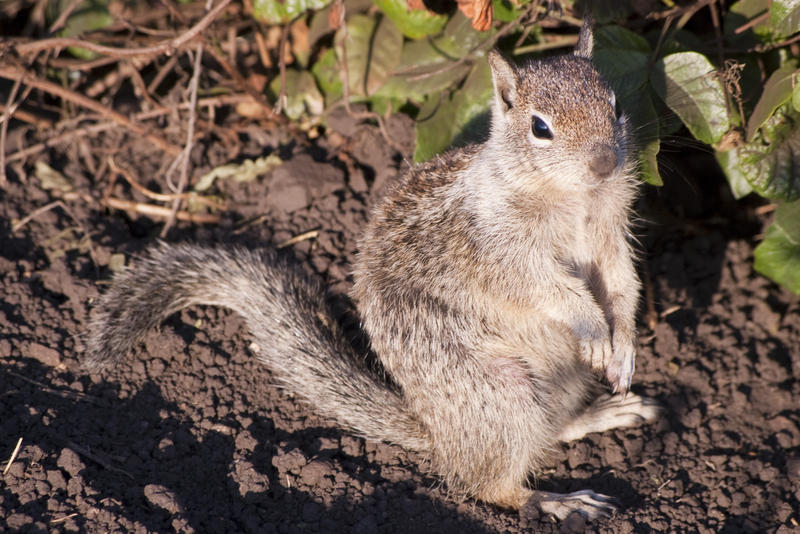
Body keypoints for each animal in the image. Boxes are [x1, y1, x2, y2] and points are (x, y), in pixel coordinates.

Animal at [86, 21, 664, 524]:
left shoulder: (610, 235)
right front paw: (591, 325)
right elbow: (543, 287)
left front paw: (624, 346)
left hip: (556, 384)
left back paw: (603, 413)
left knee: (551, 431)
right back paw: (553, 500)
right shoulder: (497, 249)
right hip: (501, 394)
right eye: (540, 128)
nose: (604, 162)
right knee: (488, 484)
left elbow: (622, 284)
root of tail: (436, 431)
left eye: (615, 104)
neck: (573, 199)